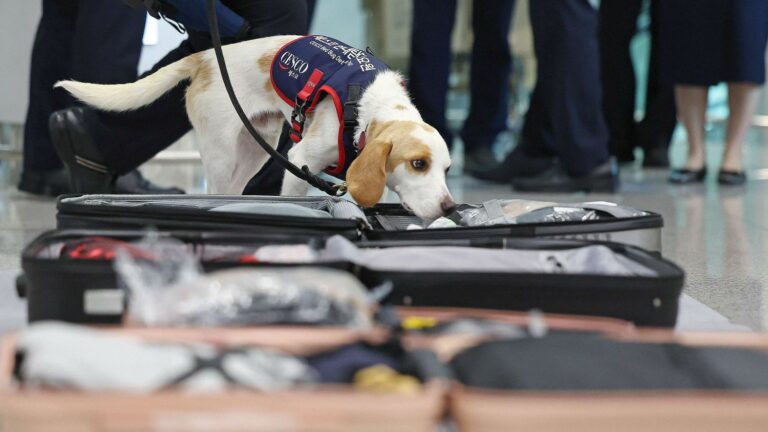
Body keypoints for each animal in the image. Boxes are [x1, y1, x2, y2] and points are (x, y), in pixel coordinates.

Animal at [60, 34, 460, 219]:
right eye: (418, 164)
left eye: (446, 169)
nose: (450, 208)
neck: (366, 106)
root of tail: (206, 57)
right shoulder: (300, 160)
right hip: (221, 153)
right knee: (218, 190)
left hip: (256, 148)